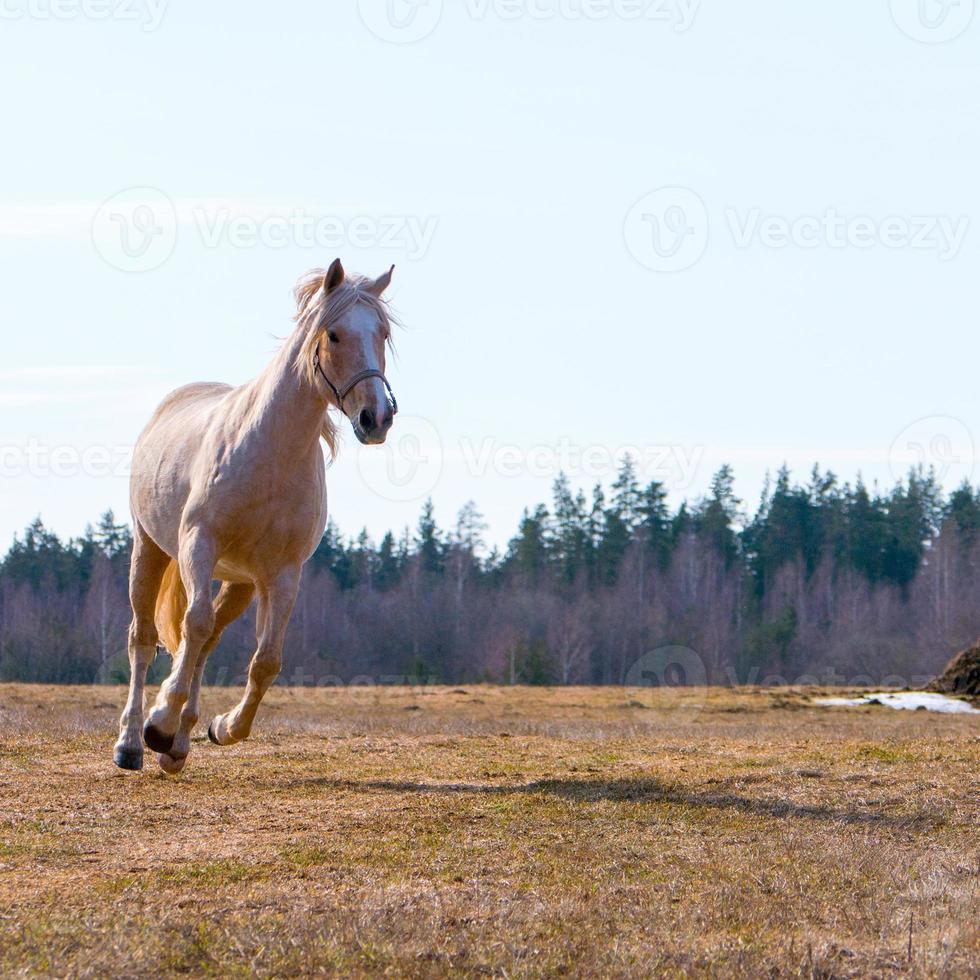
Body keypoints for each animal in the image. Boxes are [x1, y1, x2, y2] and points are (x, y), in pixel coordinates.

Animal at [117, 258, 400, 772]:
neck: (269, 453)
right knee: (144, 638)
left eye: (383, 333)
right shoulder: (199, 545)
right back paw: (132, 741)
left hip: (240, 583)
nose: (377, 418)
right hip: (149, 549)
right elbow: (192, 625)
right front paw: (158, 722)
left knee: (206, 642)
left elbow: (265, 660)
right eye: (333, 335)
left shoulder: (281, 573)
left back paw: (177, 746)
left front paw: (222, 727)